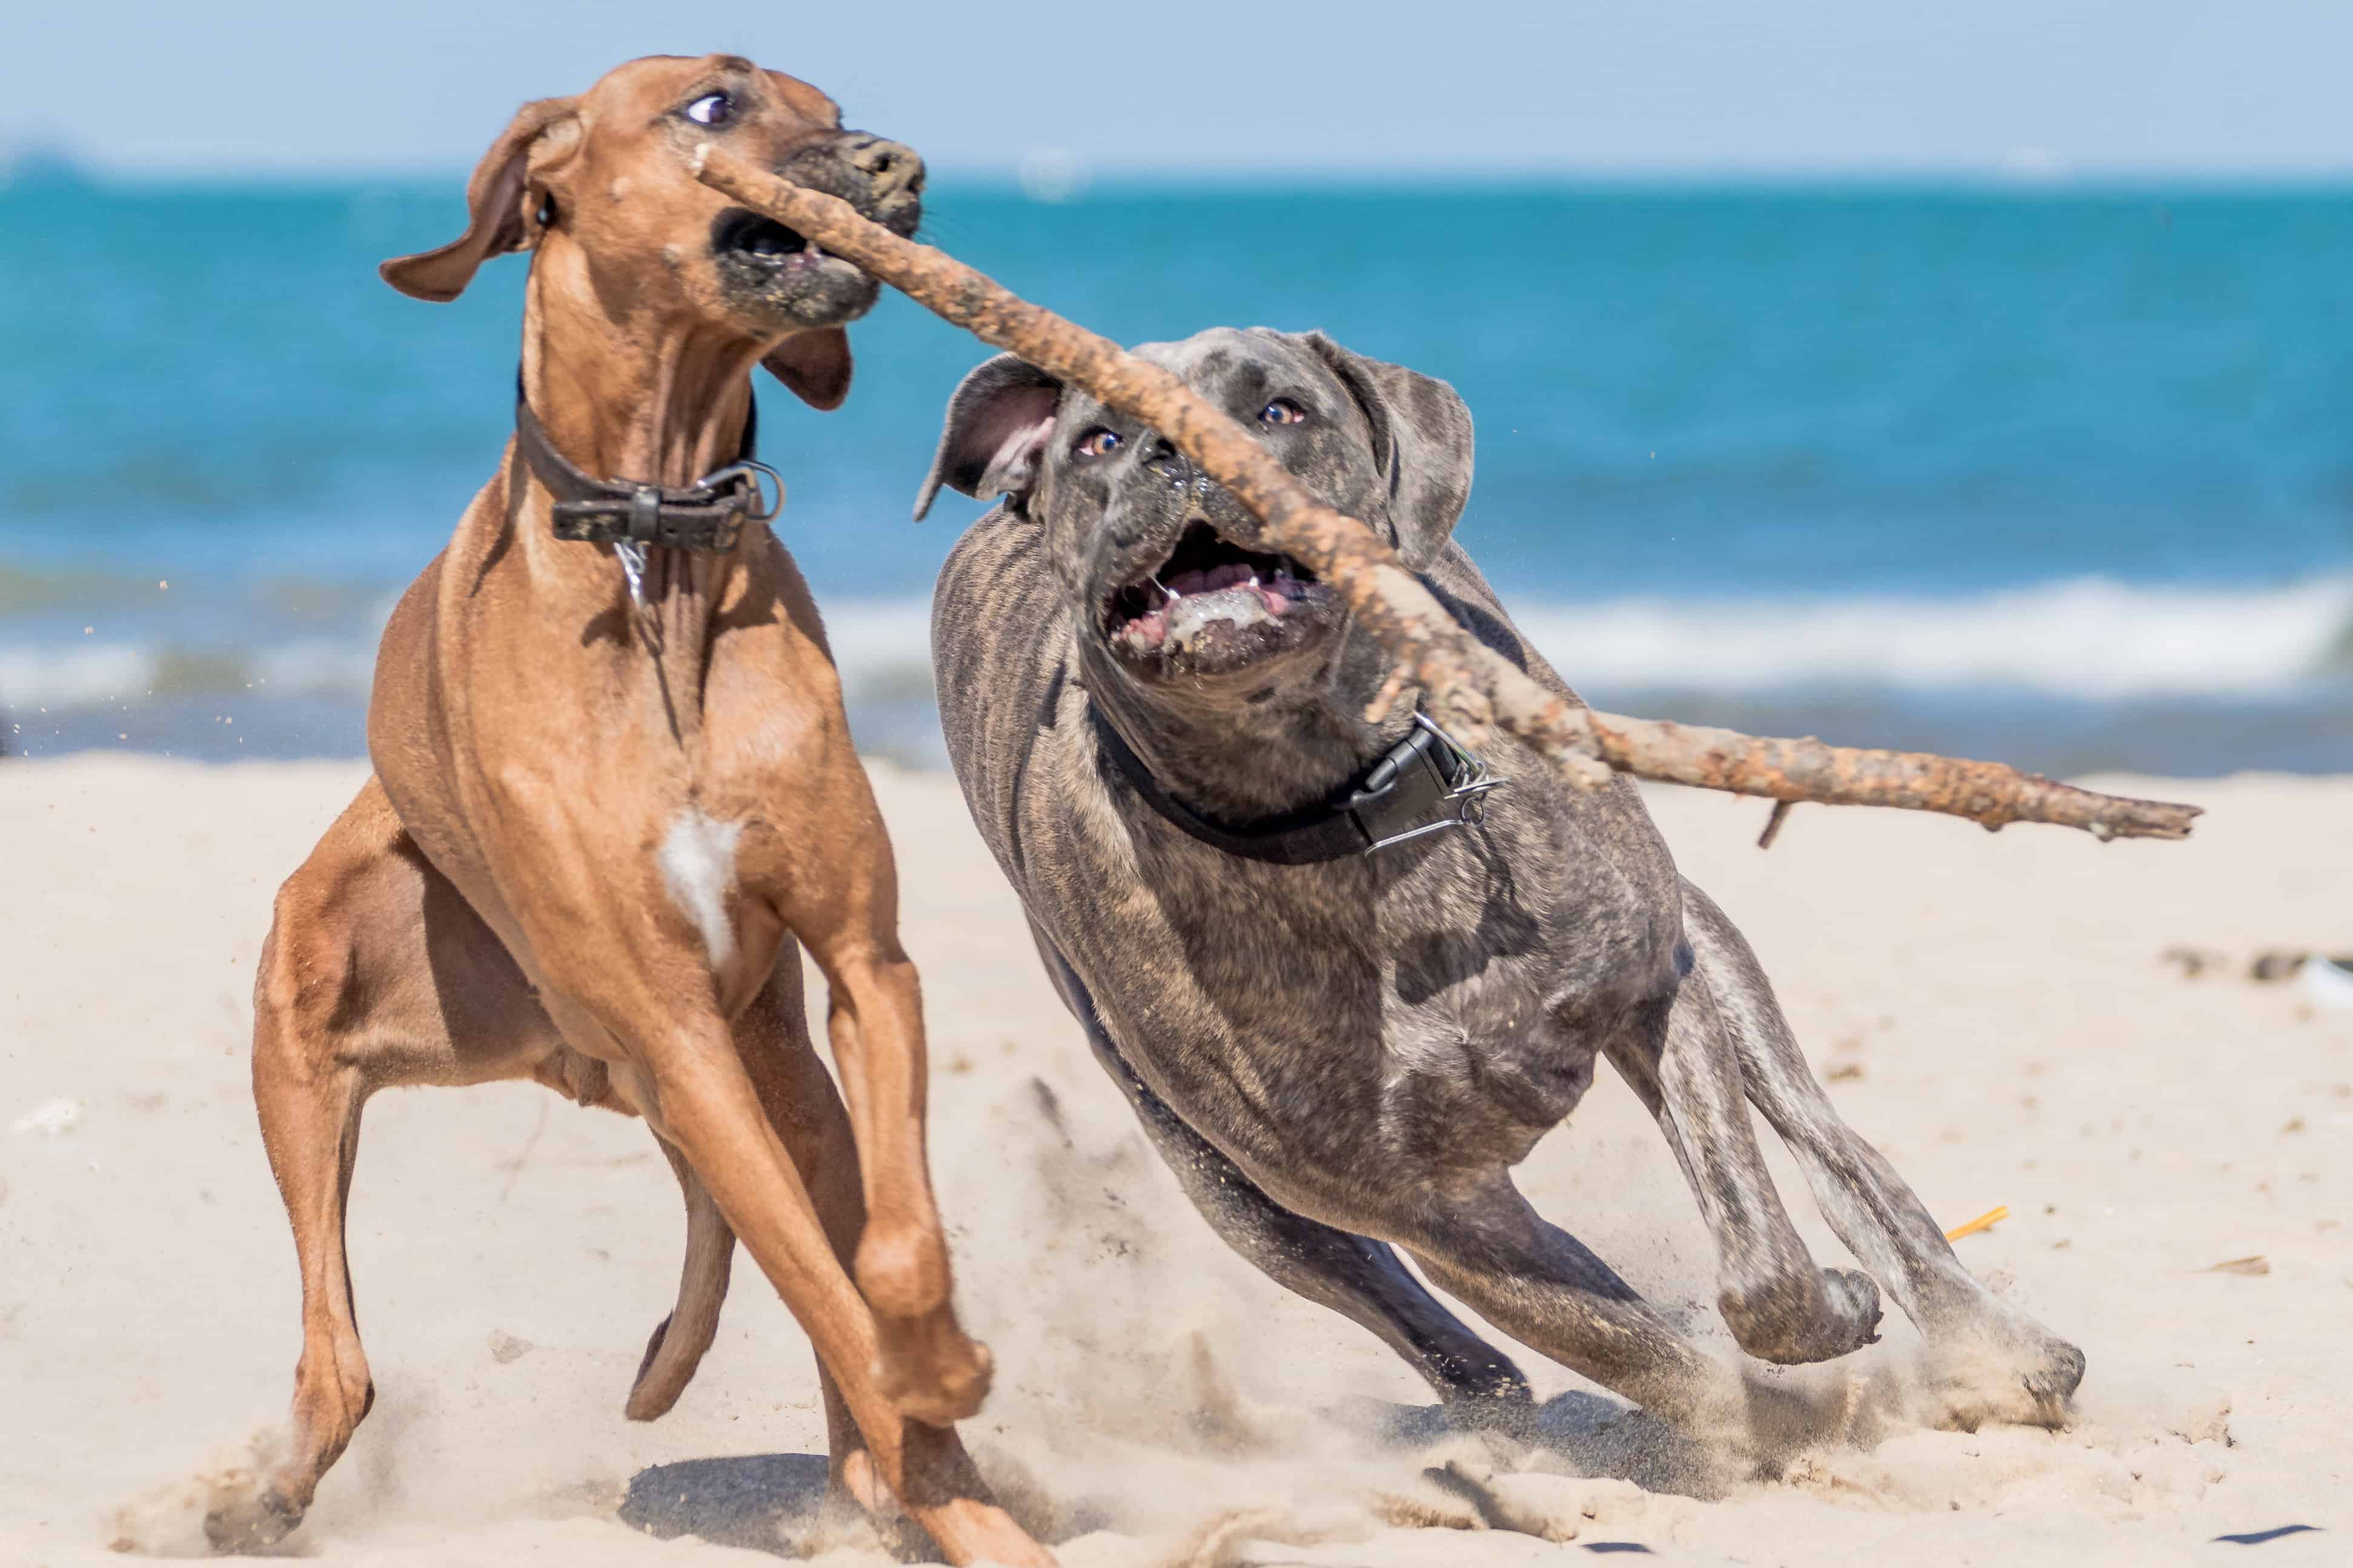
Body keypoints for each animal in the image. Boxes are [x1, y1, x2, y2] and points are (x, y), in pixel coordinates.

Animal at [207, 55, 1054, 1561]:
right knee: (338, 1354)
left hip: (775, 1068)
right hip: (326, 969)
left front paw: (941, 1365)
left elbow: (893, 1248)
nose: (897, 167)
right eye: (714, 105)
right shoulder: (678, 1034)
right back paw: (280, 1481)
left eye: (830, 99)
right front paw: (924, 1399)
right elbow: (830, 1297)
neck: (658, 548)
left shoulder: (857, 965)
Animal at [908, 329, 2089, 1448]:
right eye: (1099, 441)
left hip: (1707, 947)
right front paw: (1766, 1421)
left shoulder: (1658, 987)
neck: (1341, 805)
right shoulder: (1426, 1208)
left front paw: (1822, 1333)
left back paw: (1993, 1345)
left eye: (1279, 410)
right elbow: (1633, 1345)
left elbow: (1758, 1255)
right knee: (1411, 1302)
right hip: (1224, 1179)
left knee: (1834, 1153)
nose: (1175, 445)